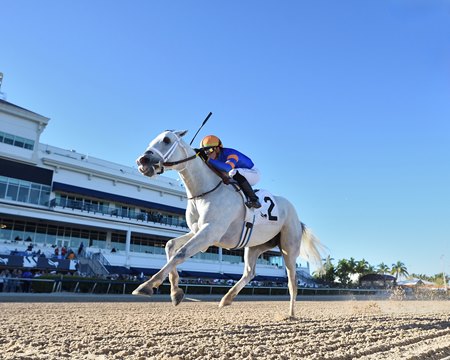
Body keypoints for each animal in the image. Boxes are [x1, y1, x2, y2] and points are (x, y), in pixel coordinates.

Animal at [132, 131, 322, 316]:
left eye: (166, 139)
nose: (142, 160)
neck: (204, 191)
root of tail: (297, 218)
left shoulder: (210, 232)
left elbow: (181, 253)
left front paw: (147, 285)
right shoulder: (198, 230)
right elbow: (170, 245)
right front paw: (175, 293)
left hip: (289, 247)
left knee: (292, 281)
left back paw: (291, 313)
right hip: (255, 246)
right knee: (249, 273)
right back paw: (227, 298)